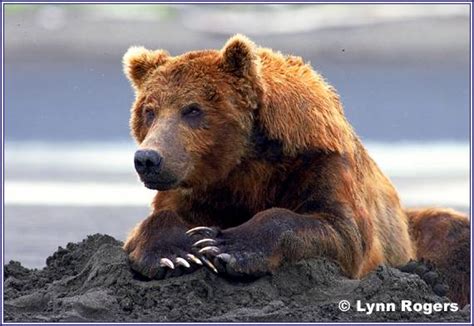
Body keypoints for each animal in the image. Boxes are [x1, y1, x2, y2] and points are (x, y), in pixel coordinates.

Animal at [122, 35, 470, 306]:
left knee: (451, 232)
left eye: (193, 109)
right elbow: (159, 220)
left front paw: (225, 245)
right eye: (149, 111)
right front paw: (175, 254)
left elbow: (341, 230)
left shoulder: (319, 163)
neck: (243, 165)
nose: (148, 159)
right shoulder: (198, 188)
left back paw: (427, 275)